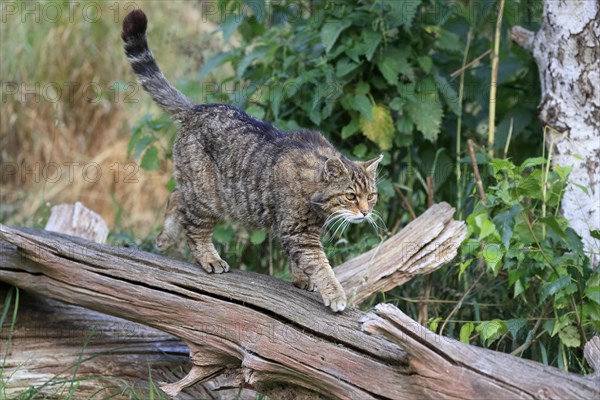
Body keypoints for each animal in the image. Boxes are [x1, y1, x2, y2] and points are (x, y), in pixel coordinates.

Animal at [122, 7, 382, 310]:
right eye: (351, 196)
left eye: (371, 196)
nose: (365, 212)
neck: (317, 199)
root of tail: (197, 108)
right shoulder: (300, 233)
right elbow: (320, 265)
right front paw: (335, 294)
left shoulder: (298, 231)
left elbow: (302, 262)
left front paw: (301, 279)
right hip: (208, 197)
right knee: (194, 228)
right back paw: (210, 258)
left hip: (197, 190)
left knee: (175, 197)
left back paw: (165, 237)